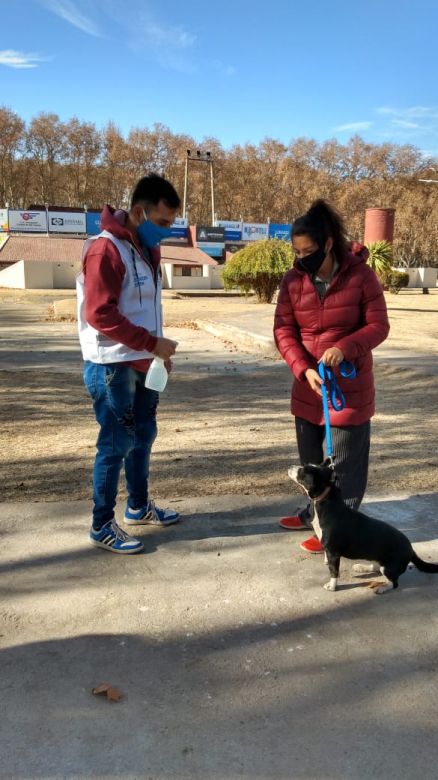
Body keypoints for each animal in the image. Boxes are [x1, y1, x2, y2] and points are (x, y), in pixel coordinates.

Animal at [288, 460, 438, 596]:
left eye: (304, 471)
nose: (290, 466)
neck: (327, 503)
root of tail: (411, 549)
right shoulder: (329, 550)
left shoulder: (334, 553)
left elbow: (334, 571)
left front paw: (332, 586)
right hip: (378, 558)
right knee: (376, 567)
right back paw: (362, 567)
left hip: (389, 568)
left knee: (394, 582)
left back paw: (383, 587)